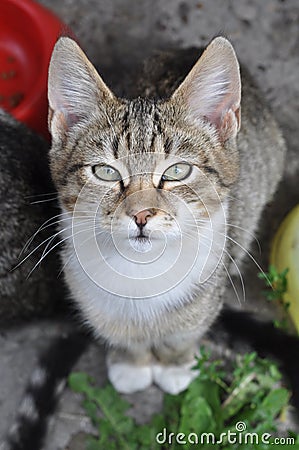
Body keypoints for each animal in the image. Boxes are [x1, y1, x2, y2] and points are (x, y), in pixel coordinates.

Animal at [47, 37, 286, 396]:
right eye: (105, 171)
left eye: (177, 171)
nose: (142, 214)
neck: (142, 271)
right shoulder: (87, 291)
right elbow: (122, 333)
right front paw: (131, 363)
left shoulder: (206, 294)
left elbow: (184, 331)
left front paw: (175, 366)